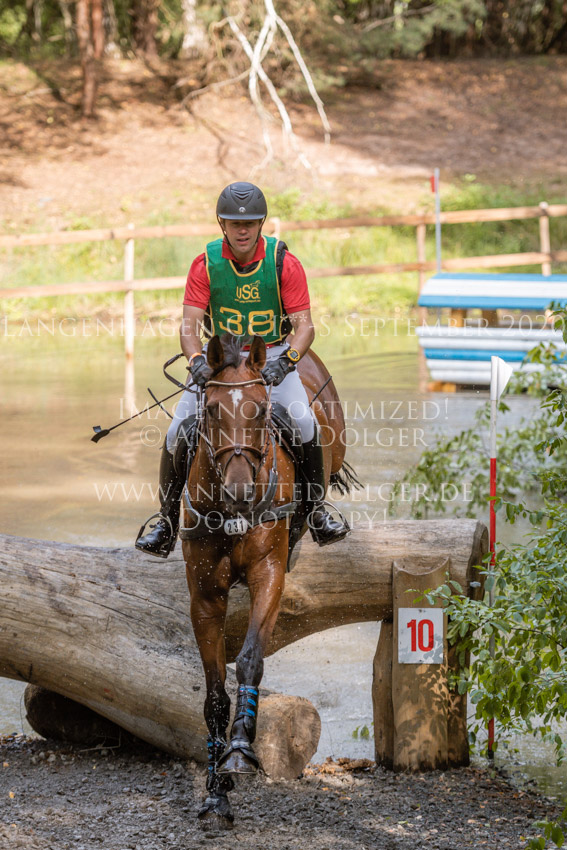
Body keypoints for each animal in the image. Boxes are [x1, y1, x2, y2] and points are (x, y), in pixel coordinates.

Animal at [180, 333, 351, 828]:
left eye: (259, 409)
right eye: (212, 409)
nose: (239, 493)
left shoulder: (269, 575)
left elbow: (251, 658)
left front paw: (240, 748)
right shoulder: (204, 595)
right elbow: (214, 691)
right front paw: (216, 791)